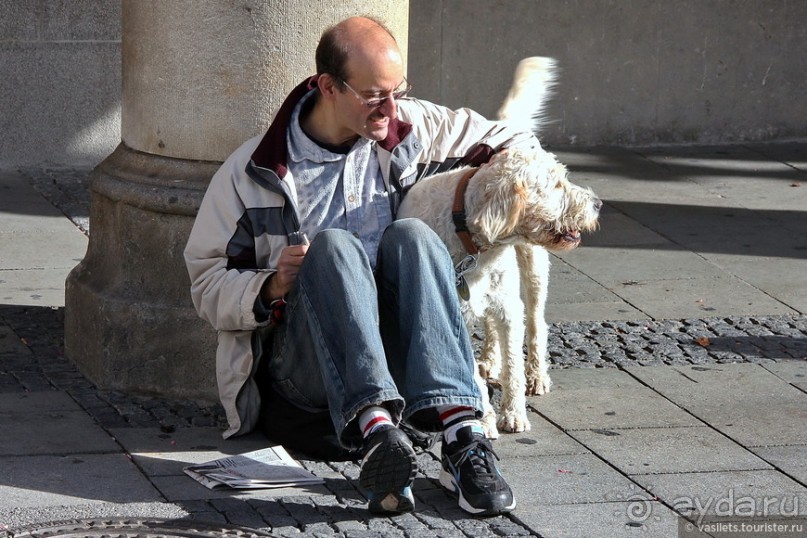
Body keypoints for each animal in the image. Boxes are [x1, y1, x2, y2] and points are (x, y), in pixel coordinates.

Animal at [398, 57, 600, 436]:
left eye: (563, 178)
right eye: (556, 185)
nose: (597, 204)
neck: (476, 244)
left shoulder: (509, 308)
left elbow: (514, 366)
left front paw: (514, 412)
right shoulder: (455, 312)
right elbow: (471, 373)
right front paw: (486, 418)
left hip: (533, 272)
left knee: (536, 323)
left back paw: (537, 375)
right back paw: (489, 360)